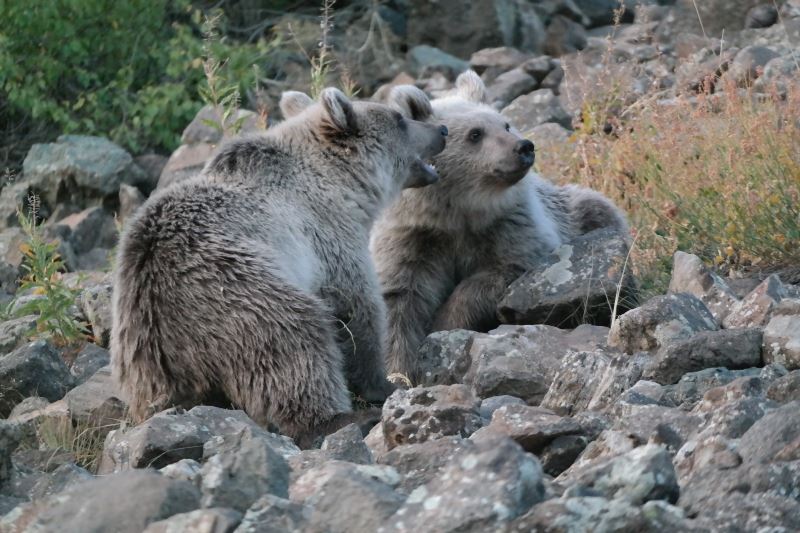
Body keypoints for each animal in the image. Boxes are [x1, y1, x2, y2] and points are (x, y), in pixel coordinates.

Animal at [111, 88, 446, 444]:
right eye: (399, 118)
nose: (441, 130)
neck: (341, 184)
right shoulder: (327, 236)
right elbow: (359, 309)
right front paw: (385, 382)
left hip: (140, 357)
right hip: (233, 291)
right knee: (297, 339)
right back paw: (337, 419)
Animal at [372, 71, 628, 378]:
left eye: (505, 124)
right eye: (475, 134)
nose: (524, 146)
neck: (455, 212)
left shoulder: (510, 227)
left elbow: (498, 274)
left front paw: (445, 324)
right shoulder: (412, 241)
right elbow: (399, 300)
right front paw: (399, 370)